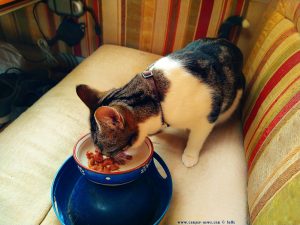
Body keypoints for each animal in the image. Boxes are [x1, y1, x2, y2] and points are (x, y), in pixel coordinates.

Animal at [76, 16, 247, 167]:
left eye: (106, 150)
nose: (102, 155)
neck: (159, 100)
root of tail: (225, 40)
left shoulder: (207, 116)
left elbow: (196, 138)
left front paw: (190, 156)